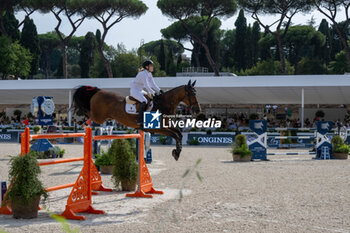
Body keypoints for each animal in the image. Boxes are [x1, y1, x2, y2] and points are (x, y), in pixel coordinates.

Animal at [72, 80, 200, 160]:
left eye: (196, 93)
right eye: (191, 94)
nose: (197, 110)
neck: (163, 104)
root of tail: (98, 91)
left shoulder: (166, 126)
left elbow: (179, 134)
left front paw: (177, 152)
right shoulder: (158, 129)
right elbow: (175, 135)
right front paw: (176, 152)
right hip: (98, 117)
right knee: (88, 113)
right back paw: (78, 120)